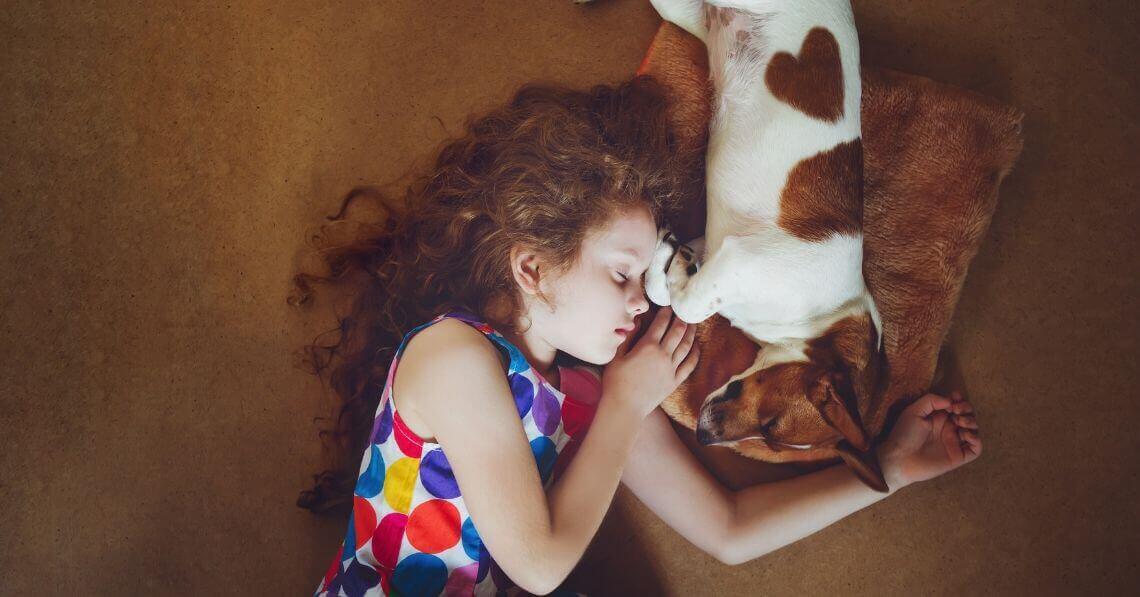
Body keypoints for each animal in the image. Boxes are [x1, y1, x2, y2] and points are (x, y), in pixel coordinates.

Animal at [647, 1, 884, 489]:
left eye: (772, 440)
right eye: (772, 427)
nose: (701, 436)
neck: (817, 322)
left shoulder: (716, 248)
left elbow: (670, 290)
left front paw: (669, 260)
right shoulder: (736, 260)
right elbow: (686, 306)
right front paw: (673, 268)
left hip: (686, 14)